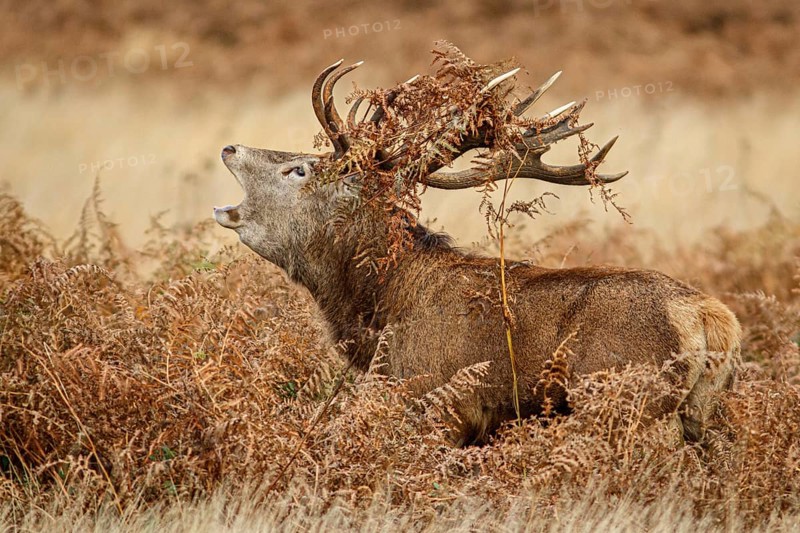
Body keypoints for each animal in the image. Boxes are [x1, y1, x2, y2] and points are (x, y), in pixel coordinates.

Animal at [213, 46, 741, 446]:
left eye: (299, 169)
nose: (230, 147)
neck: (379, 317)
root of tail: (712, 319)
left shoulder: (439, 400)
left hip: (625, 403)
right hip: (702, 414)